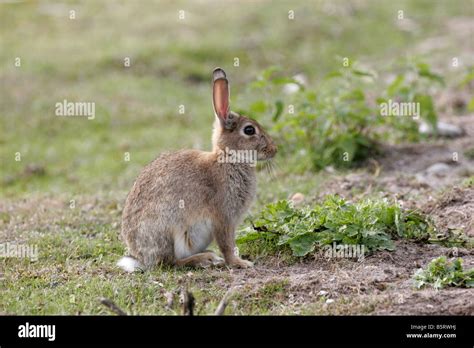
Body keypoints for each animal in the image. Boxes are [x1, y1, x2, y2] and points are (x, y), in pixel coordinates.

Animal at [116, 66, 276, 272]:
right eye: (249, 130)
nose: (273, 149)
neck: (228, 158)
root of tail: (141, 258)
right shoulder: (223, 217)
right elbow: (226, 244)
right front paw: (240, 263)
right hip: (171, 230)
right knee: (169, 262)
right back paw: (204, 259)